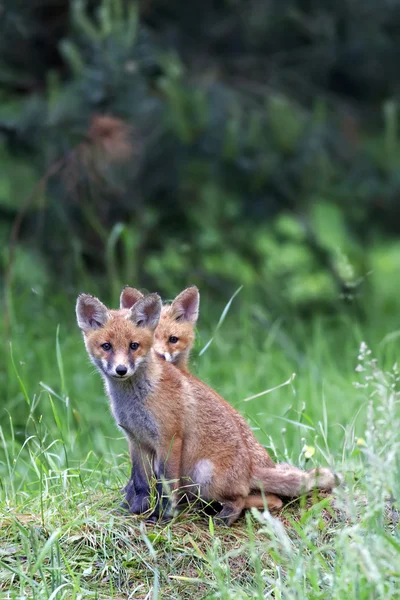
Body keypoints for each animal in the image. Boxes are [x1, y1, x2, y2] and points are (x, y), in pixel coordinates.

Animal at [76, 292, 340, 524]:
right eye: (106, 346)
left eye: (134, 346)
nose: (121, 370)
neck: (136, 401)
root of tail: (250, 469)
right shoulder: (136, 439)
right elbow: (140, 483)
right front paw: (134, 510)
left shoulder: (170, 439)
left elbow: (166, 487)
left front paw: (162, 517)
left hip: (203, 476)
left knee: (245, 498)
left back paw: (224, 518)